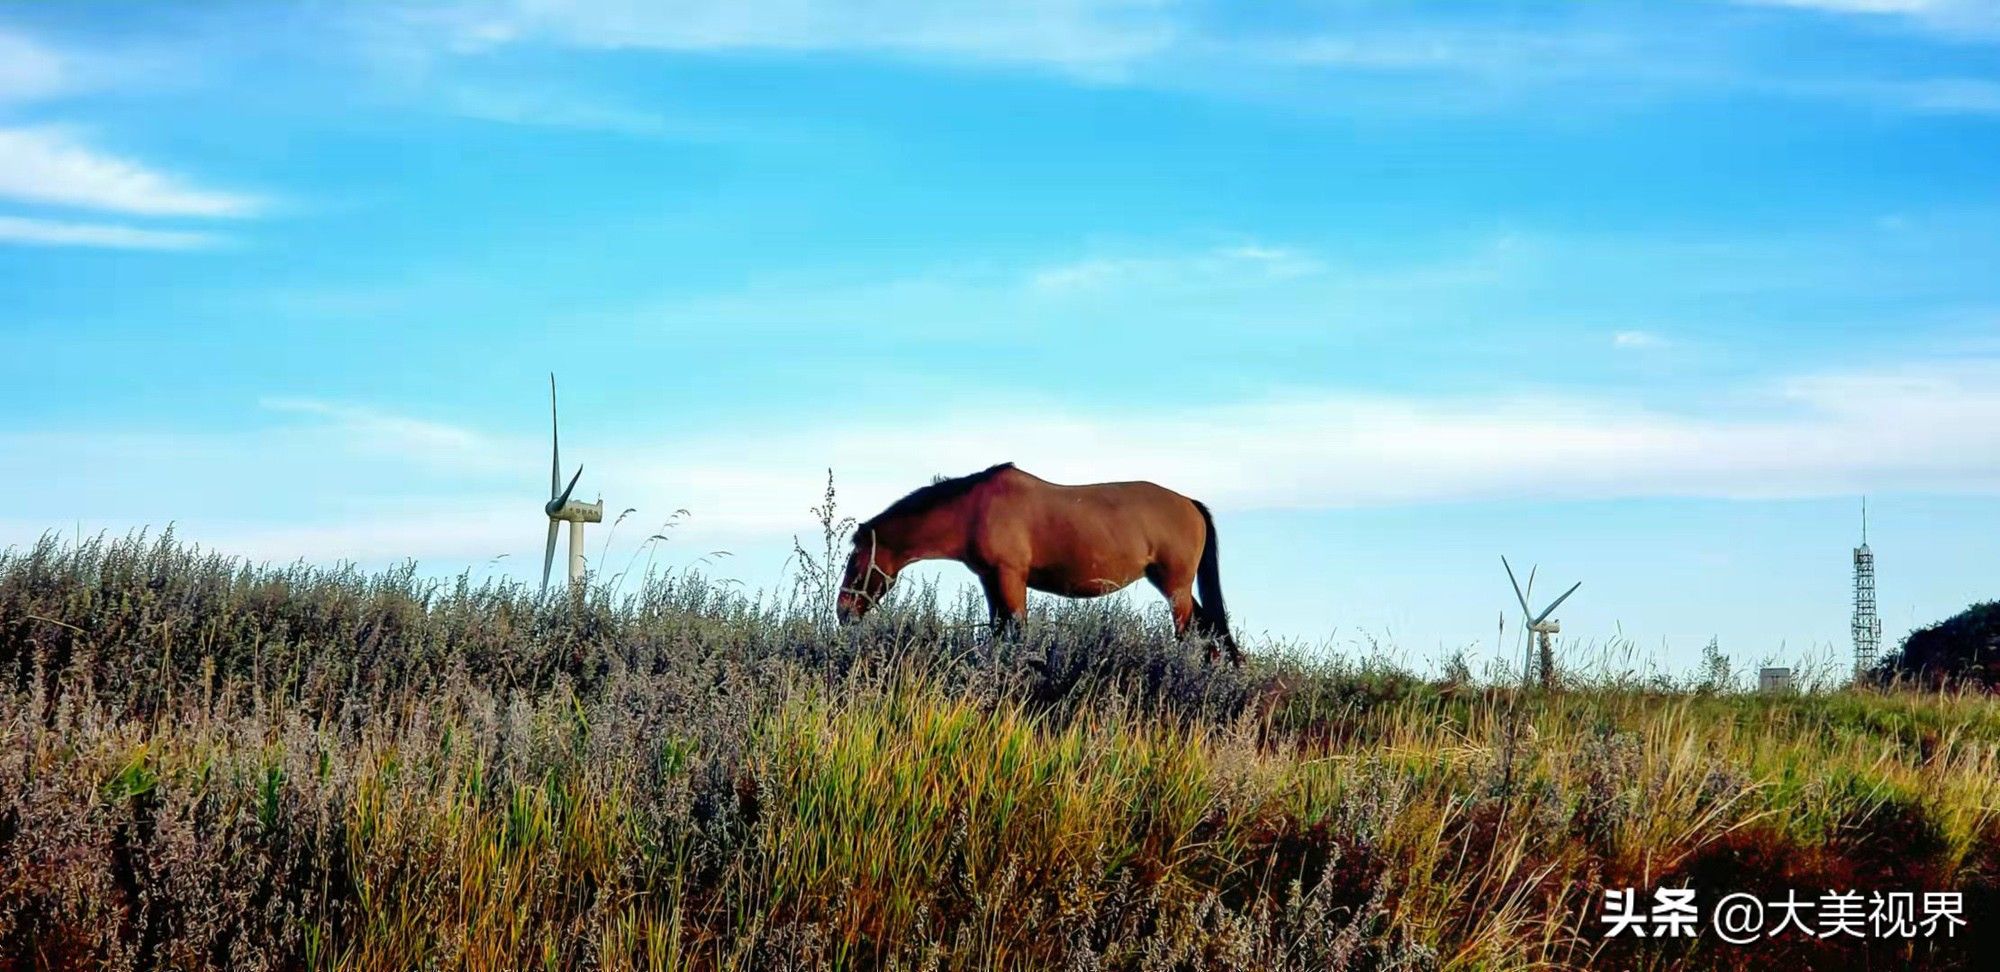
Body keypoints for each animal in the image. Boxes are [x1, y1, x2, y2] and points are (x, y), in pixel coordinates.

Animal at [832, 462, 1232, 660]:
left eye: (856, 562)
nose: (843, 611)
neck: (974, 509)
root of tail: (1191, 504)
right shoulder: (991, 580)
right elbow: (997, 631)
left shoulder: (1011, 578)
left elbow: (1017, 633)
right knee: (1209, 633)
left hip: (1175, 588)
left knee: (1190, 634)